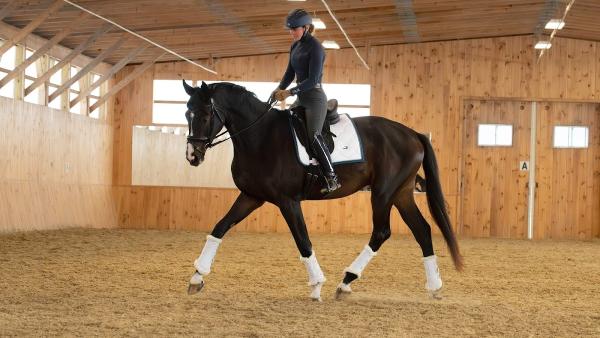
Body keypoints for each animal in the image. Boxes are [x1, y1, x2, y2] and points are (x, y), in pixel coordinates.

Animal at [183, 80, 464, 302]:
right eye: (187, 114)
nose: (192, 156)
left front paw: (317, 285)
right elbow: (219, 227)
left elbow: (303, 241)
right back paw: (434, 286)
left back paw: (346, 280)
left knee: (382, 232)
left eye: (205, 115)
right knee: (422, 230)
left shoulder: (288, 201)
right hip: (402, 193)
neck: (260, 136)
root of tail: (412, 133)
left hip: (383, 193)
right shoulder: (252, 196)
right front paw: (197, 277)